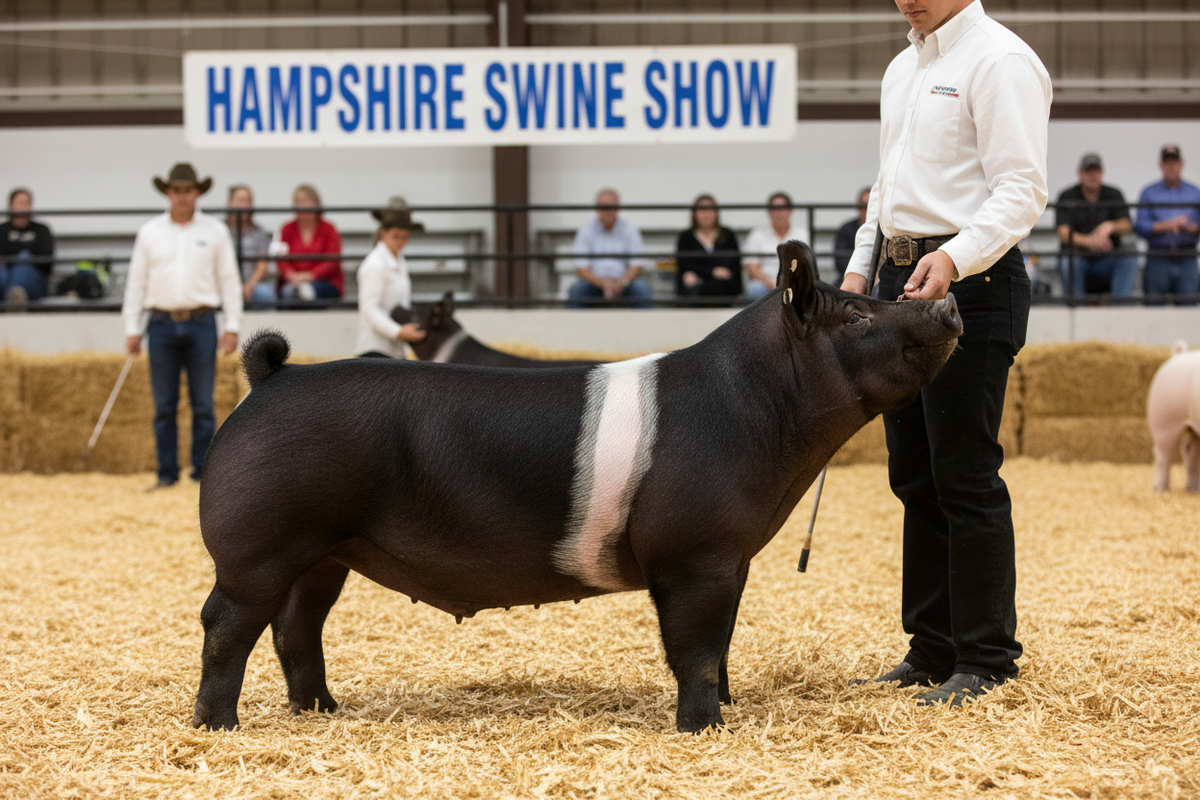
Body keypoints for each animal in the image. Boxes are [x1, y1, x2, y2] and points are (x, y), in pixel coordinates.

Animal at [1148, 339, 1200, 492]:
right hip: (1162, 422)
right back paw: (1161, 489)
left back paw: (1193, 490)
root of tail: (1179, 355)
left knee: (1190, 453)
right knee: (1163, 456)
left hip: (1193, 428)